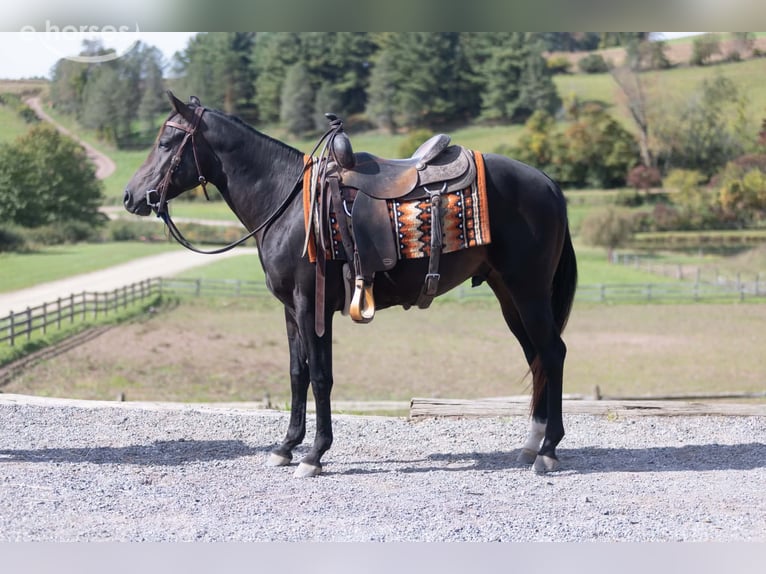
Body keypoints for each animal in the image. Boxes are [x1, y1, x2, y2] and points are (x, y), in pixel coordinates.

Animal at [123, 92, 577, 477]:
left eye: (166, 142)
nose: (130, 196)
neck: (287, 203)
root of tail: (548, 183)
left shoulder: (312, 306)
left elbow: (321, 377)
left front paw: (314, 454)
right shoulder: (290, 309)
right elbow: (298, 373)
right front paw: (286, 447)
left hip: (529, 291)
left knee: (553, 353)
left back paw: (548, 451)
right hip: (509, 295)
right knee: (536, 356)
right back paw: (531, 444)